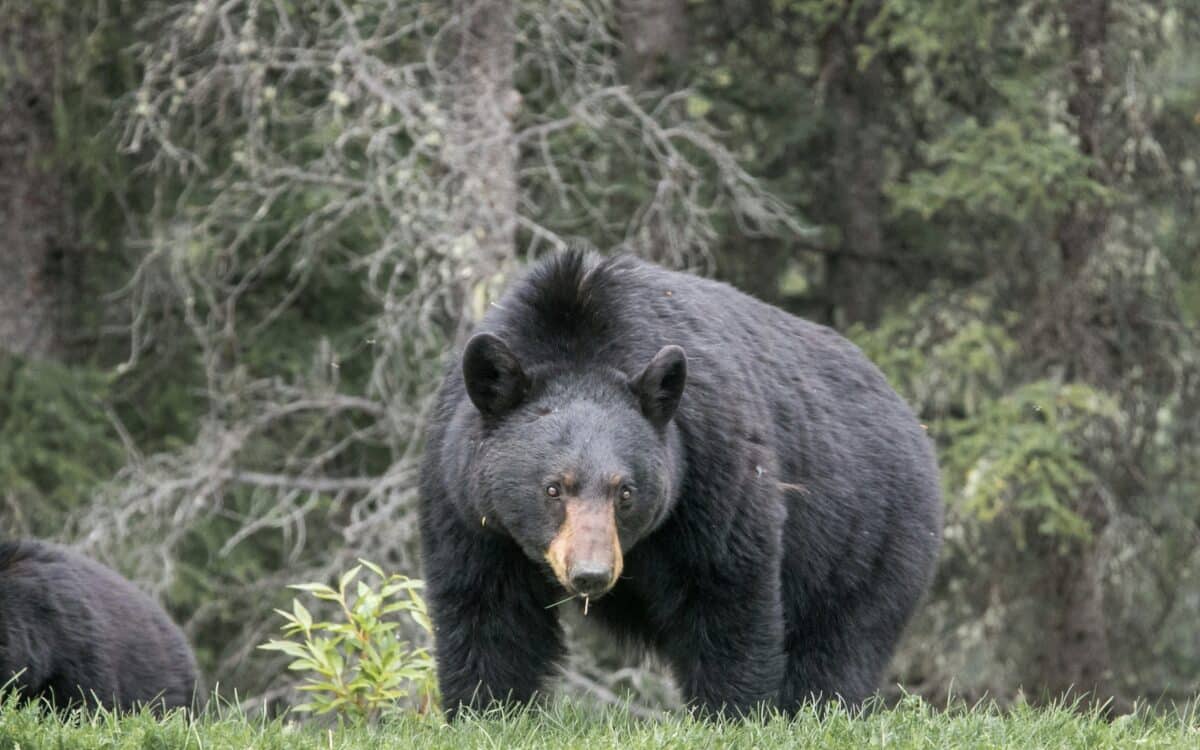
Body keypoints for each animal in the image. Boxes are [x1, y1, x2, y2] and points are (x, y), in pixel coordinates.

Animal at [418, 249, 942, 718]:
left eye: (625, 491)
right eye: (553, 489)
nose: (591, 574)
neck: (578, 329)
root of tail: (912, 421)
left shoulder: (710, 459)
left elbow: (726, 588)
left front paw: (732, 712)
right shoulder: (464, 493)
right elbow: (488, 605)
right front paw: (487, 709)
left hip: (869, 538)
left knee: (841, 644)